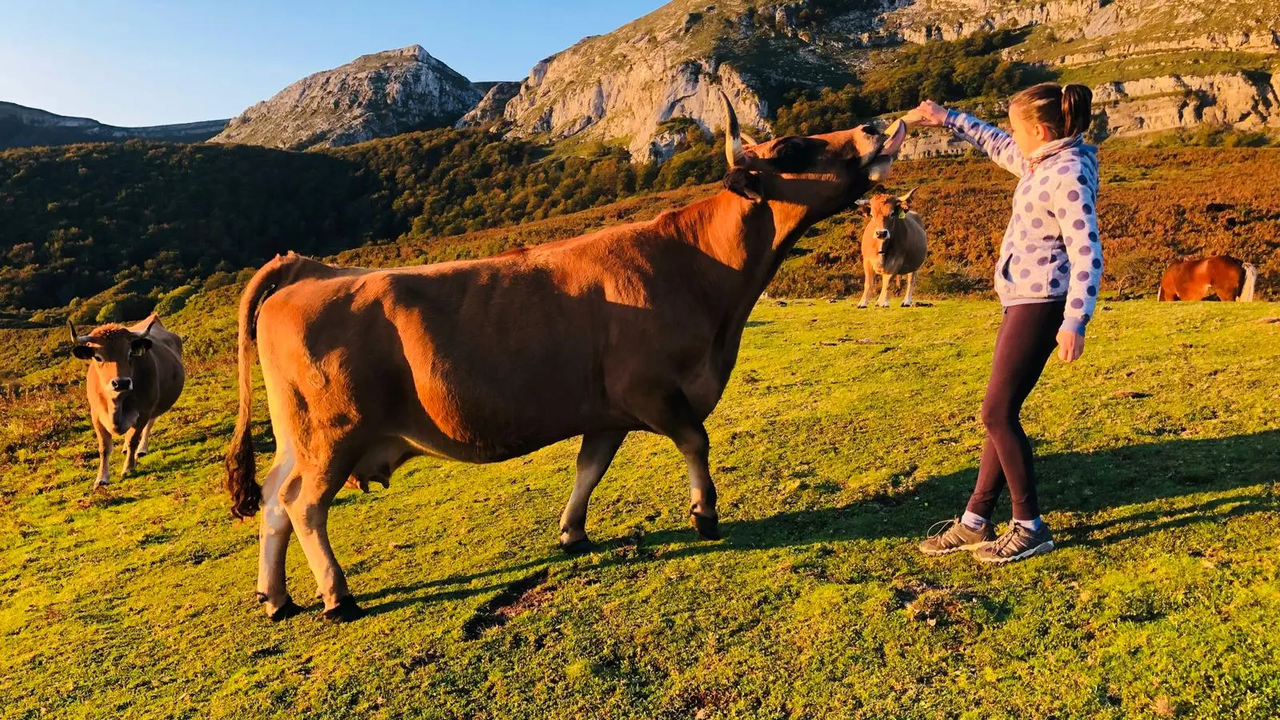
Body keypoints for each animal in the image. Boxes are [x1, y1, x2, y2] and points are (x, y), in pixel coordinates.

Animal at [69, 314, 185, 488]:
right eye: (98, 357)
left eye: (130, 354)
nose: (122, 382)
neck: (116, 404)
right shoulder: (96, 415)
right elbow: (104, 448)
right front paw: (101, 478)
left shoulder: (143, 411)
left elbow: (133, 440)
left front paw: (128, 468)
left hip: (154, 406)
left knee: (149, 425)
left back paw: (142, 449)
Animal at [225, 93, 909, 622]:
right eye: (794, 149)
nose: (876, 127)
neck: (702, 276)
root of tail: (306, 272)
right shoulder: (651, 389)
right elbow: (696, 440)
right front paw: (704, 513)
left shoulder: (607, 410)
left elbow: (590, 469)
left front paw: (572, 532)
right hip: (331, 434)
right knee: (304, 506)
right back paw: (336, 596)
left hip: (298, 437)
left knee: (273, 500)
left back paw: (275, 598)